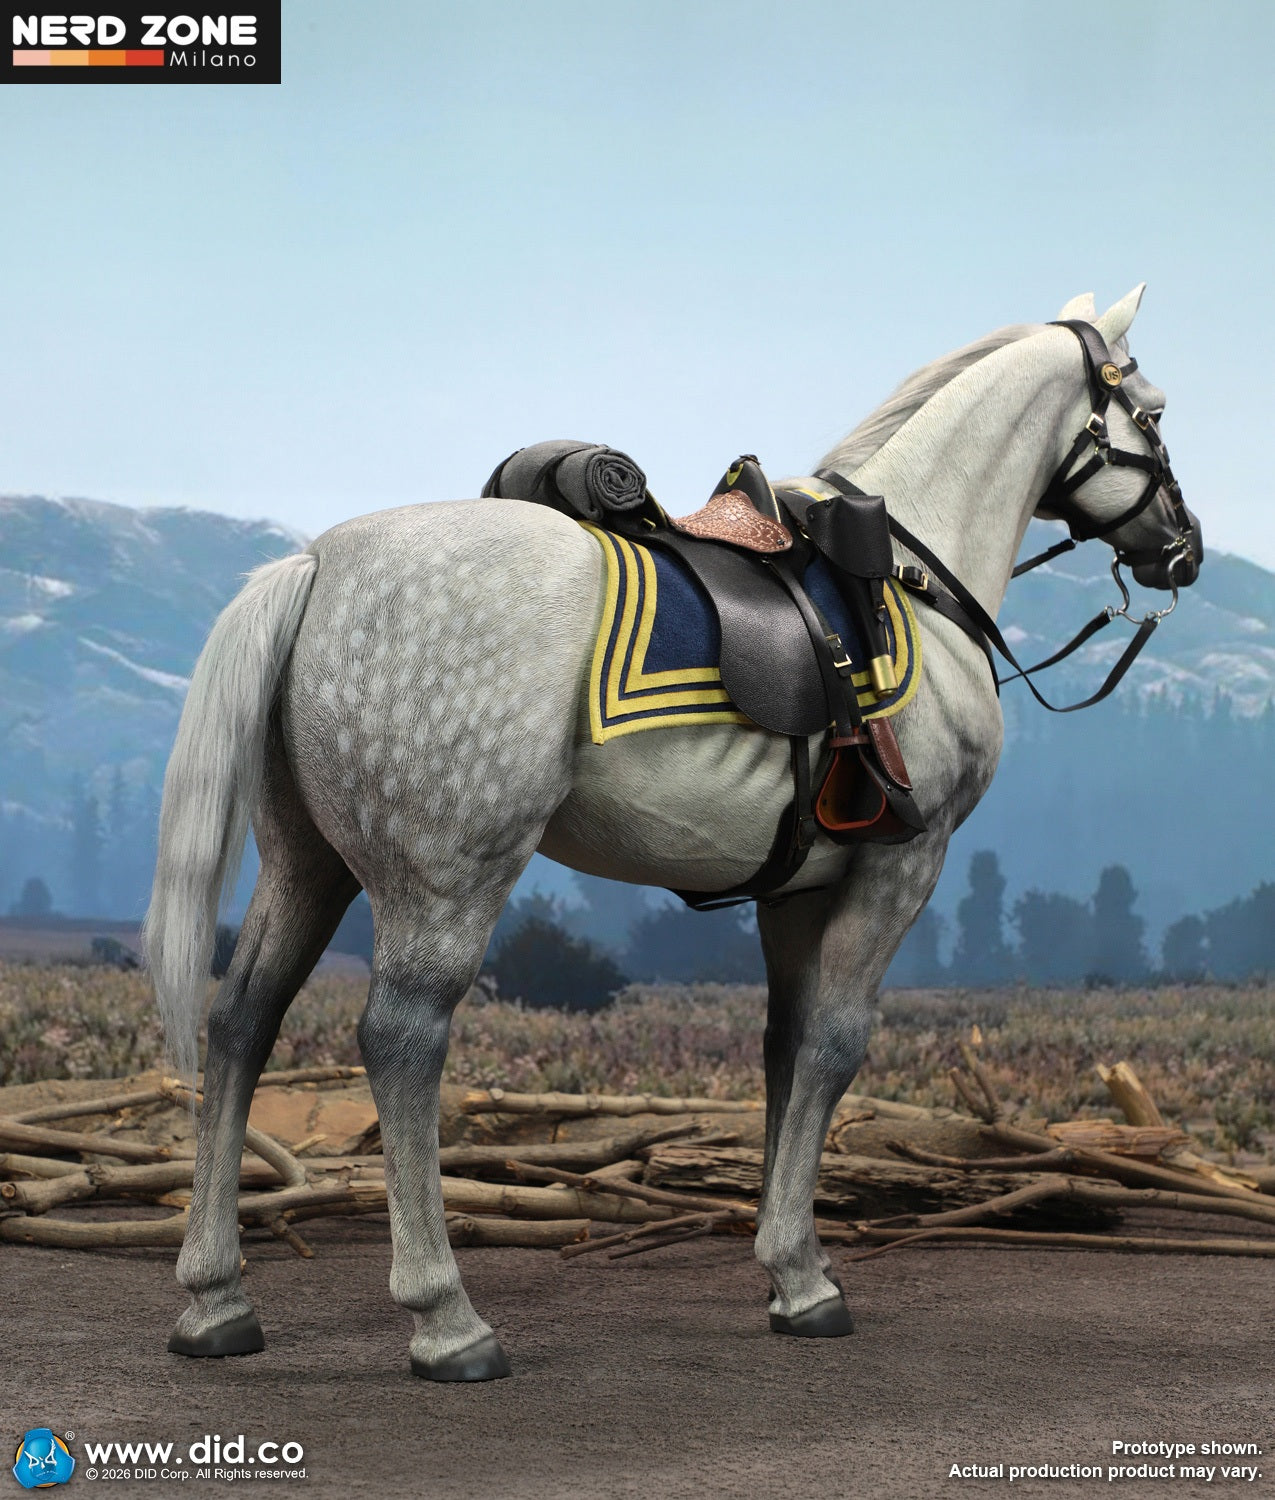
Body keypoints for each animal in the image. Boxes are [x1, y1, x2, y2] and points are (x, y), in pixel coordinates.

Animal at [145, 283, 1201, 1381]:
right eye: (1155, 413)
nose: (1185, 549)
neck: (909, 574)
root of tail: (317, 563)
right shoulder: (900, 867)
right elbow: (835, 1045)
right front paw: (804, 1276)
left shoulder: (798, 892)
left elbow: (786, 1051)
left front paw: (785, 1268)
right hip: (445, 879)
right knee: (399, 1039)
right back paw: (446, 1318)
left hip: (305, 866)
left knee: (241, 1022)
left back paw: (215, 1299)